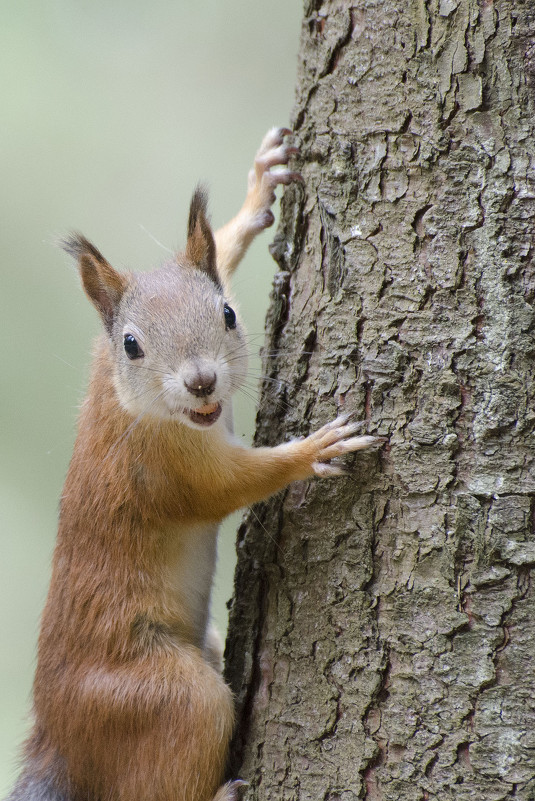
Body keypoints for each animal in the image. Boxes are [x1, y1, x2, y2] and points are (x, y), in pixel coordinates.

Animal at [8, 130, 384, 800]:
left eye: (227, 314)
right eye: (131, 344)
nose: (202, 381)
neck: (131, 403)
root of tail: (63, 741)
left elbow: (222, 254)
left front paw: (258, 190)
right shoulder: (164, 471)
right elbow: (230, 485)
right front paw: (315, 449)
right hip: (169, 698)